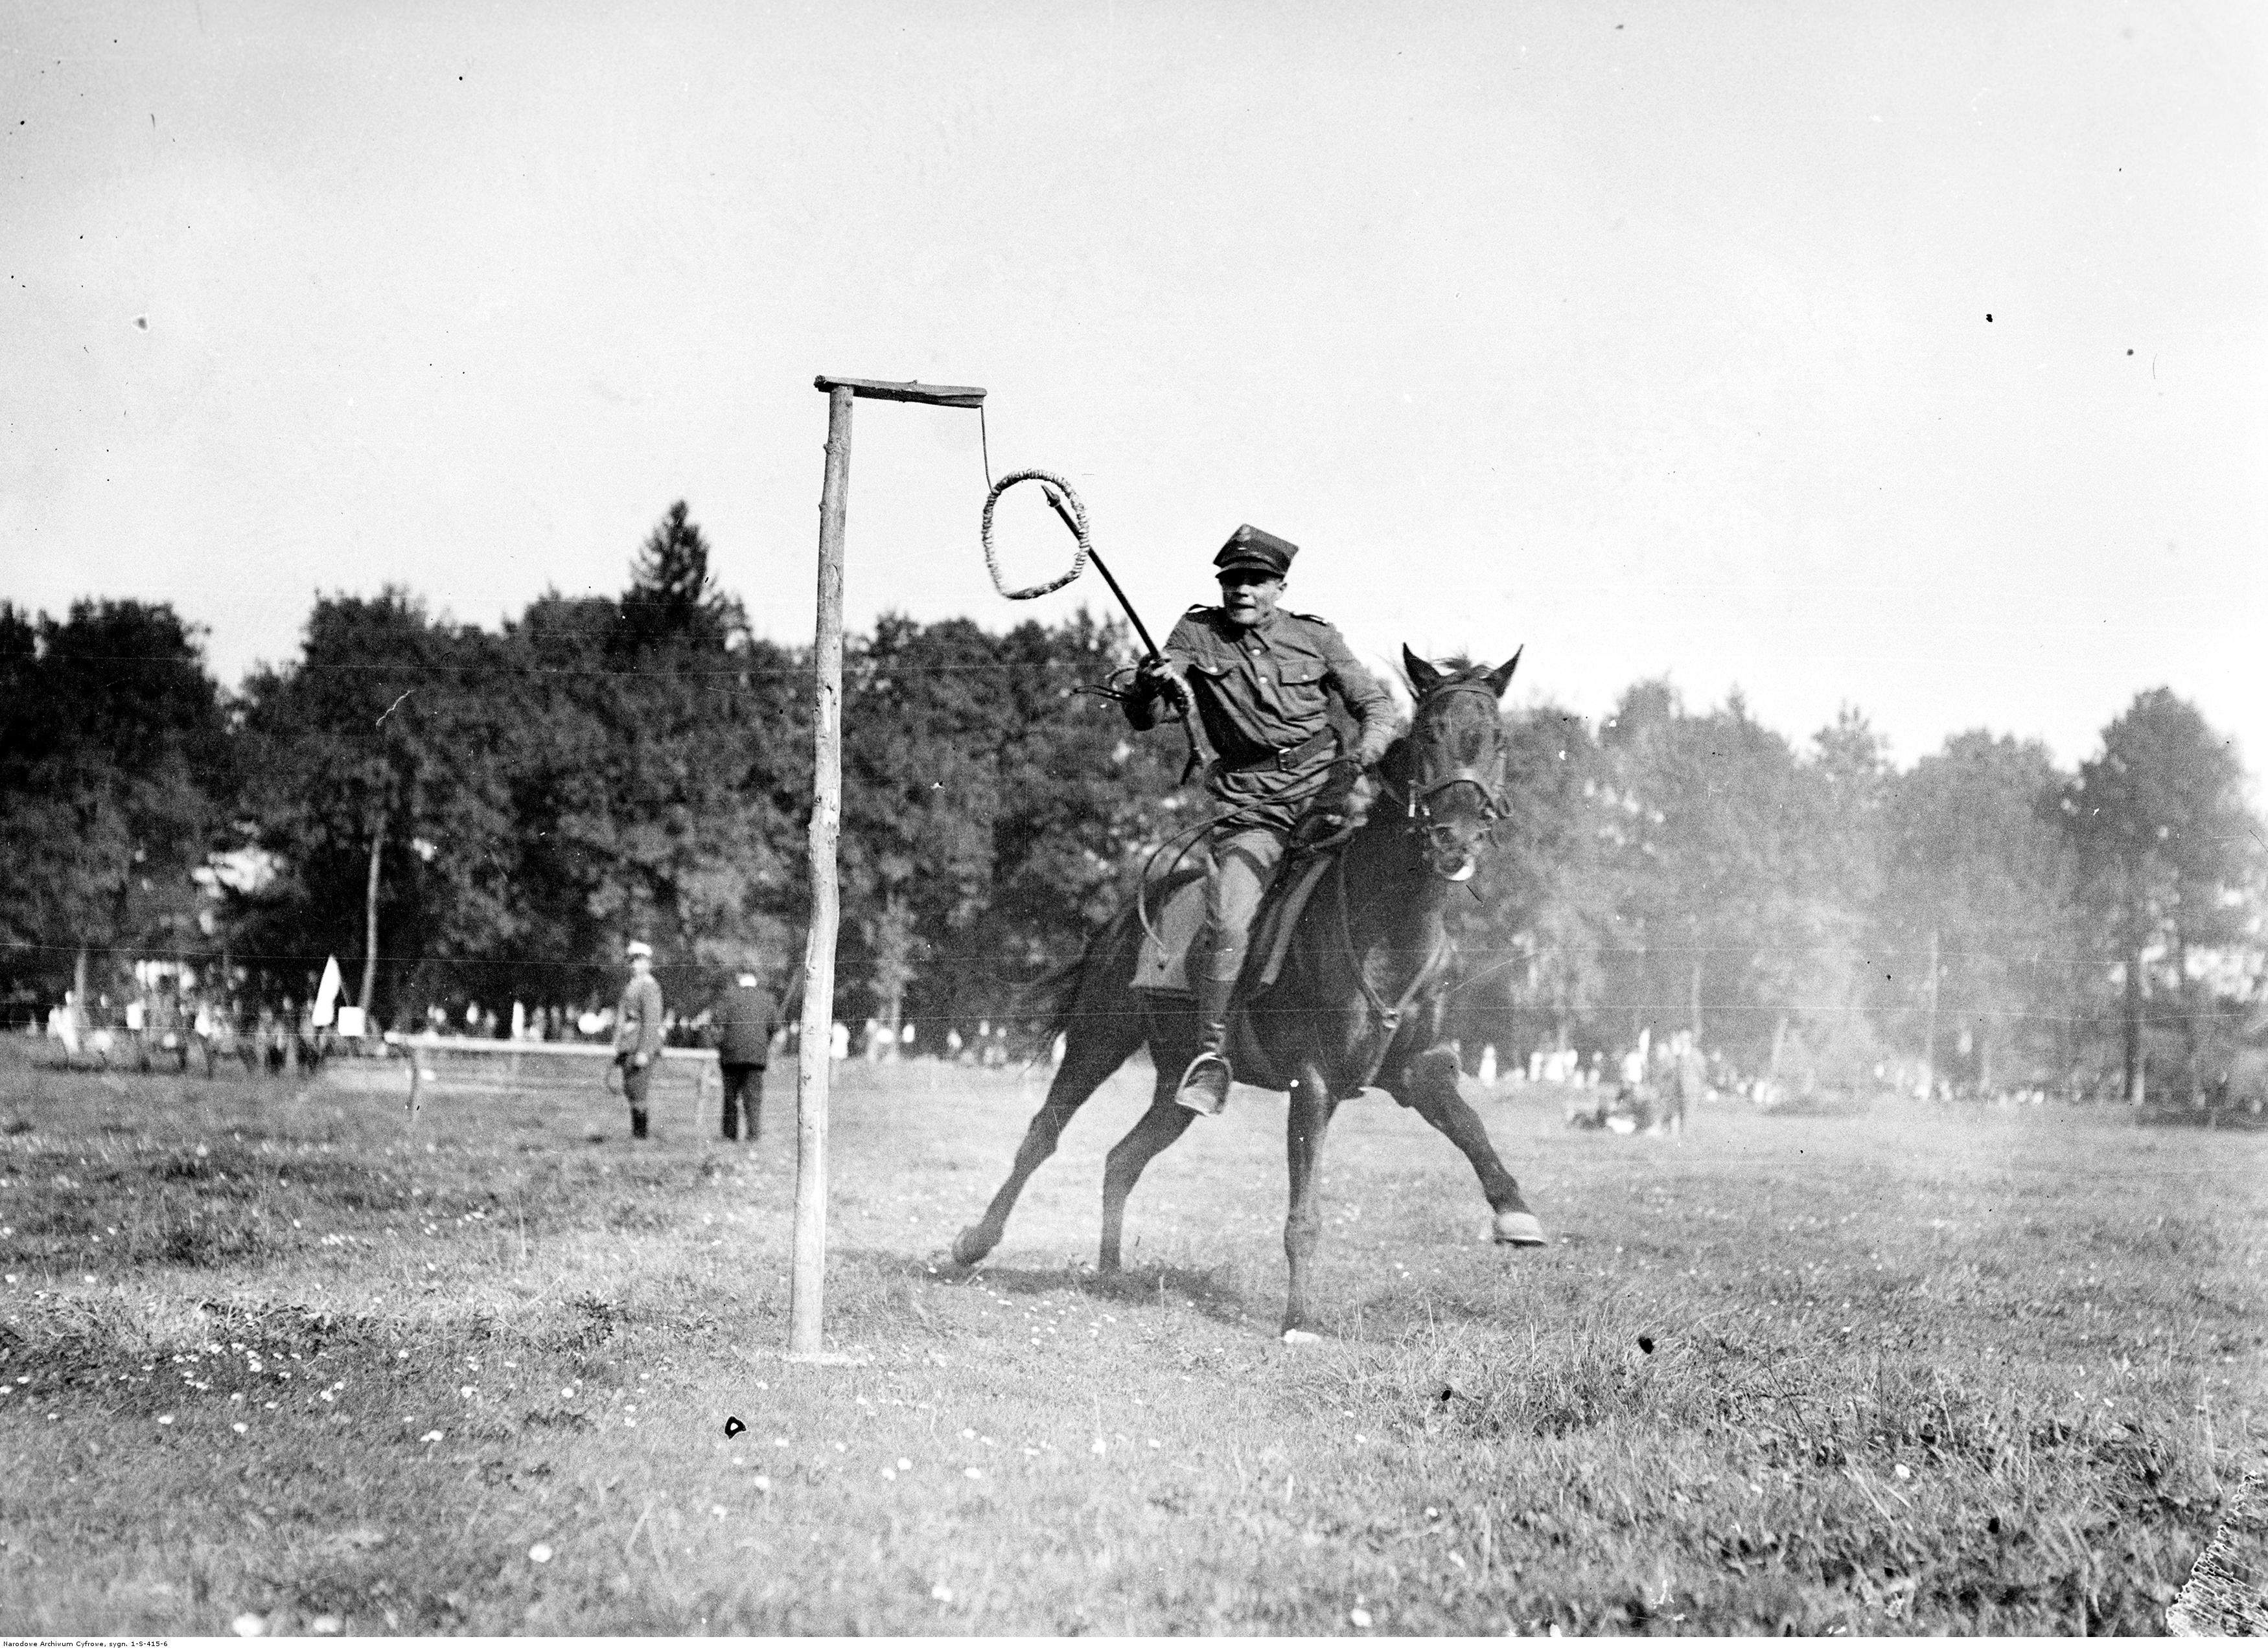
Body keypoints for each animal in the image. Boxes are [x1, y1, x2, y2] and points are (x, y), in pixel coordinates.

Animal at [948, 643, 1551, 1342]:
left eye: (1499, 740)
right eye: (1430, 733)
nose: (1455, 840)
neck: (1387, 923)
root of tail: (1123, 918)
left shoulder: (1417, 1068)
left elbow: (1472, 1129)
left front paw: (1516, 1215)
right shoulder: (1312, 1081)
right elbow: (1304, 1212)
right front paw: (1297, 1319)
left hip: (1176, 1085)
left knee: (1122, 1158)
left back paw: (1110, 1272)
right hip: (1097, 1041)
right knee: (1042, 1135)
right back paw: (974, 1242)